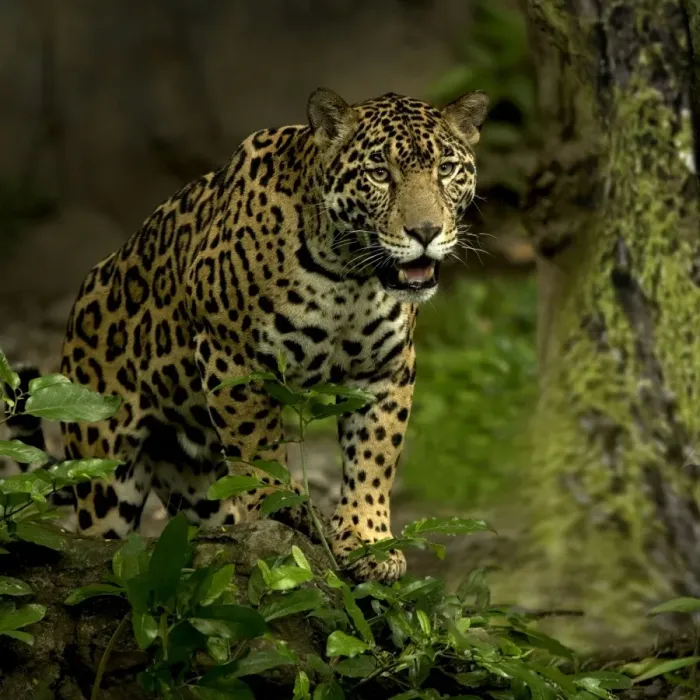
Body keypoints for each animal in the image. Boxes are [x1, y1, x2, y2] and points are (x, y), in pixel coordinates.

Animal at [35, 88, 489, 582]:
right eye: (379, 174)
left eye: (445, 169)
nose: (425, 231)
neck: (349, 275)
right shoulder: (232, 358)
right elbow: (258, 445)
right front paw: (281, 507)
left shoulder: (386, 369)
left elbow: (374, 457)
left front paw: (367, 539)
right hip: (104, 472)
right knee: (101, 532)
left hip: (194, 484)